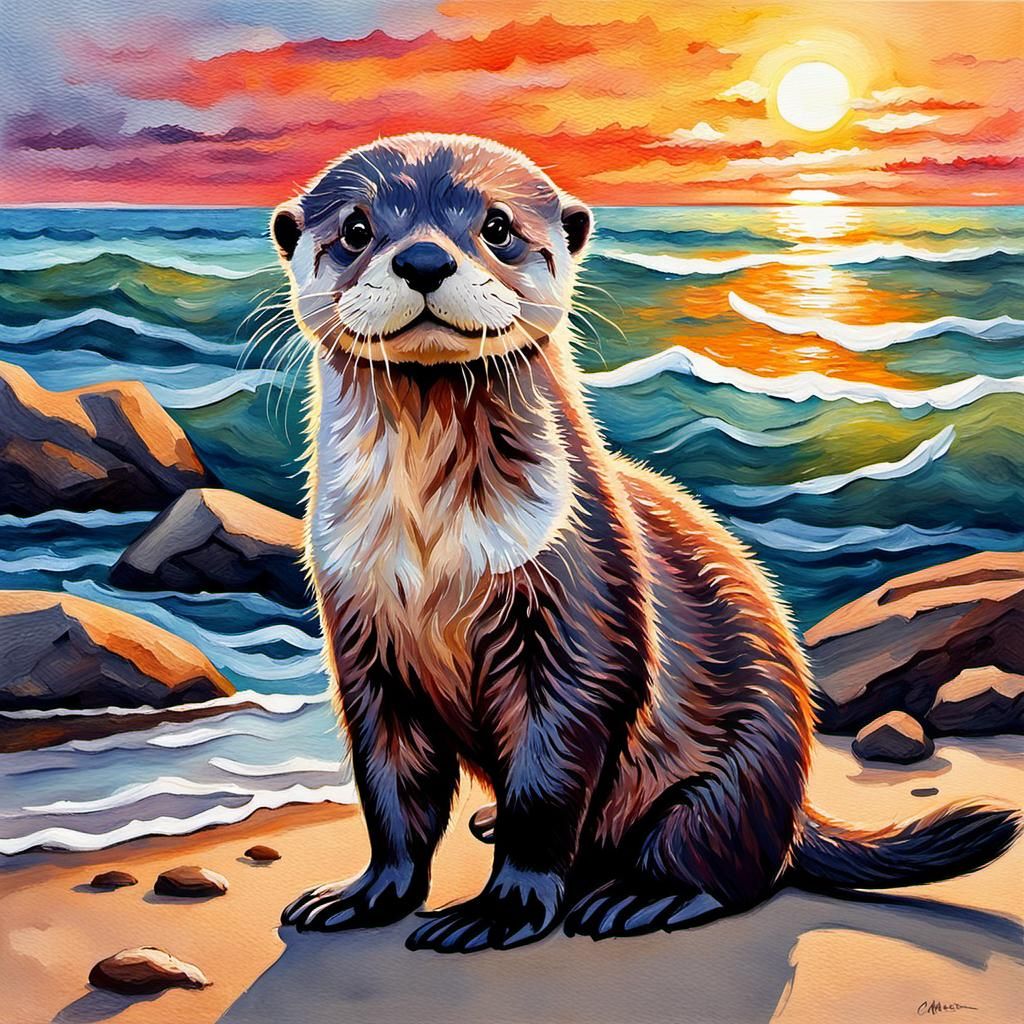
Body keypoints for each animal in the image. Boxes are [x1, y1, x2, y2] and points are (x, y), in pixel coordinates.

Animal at [271, 133, 1019, 953]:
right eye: (356, 230)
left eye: (496, 226)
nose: (425, 260)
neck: (436, 548)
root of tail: (793, 809)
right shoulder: (361, 631)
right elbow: (390, 789)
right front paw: (367, 893)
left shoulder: (579, 600)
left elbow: (551, 776)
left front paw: (503, 908)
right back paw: (492, 821)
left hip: (739, 768)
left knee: (727, 863)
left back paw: (642, 896)